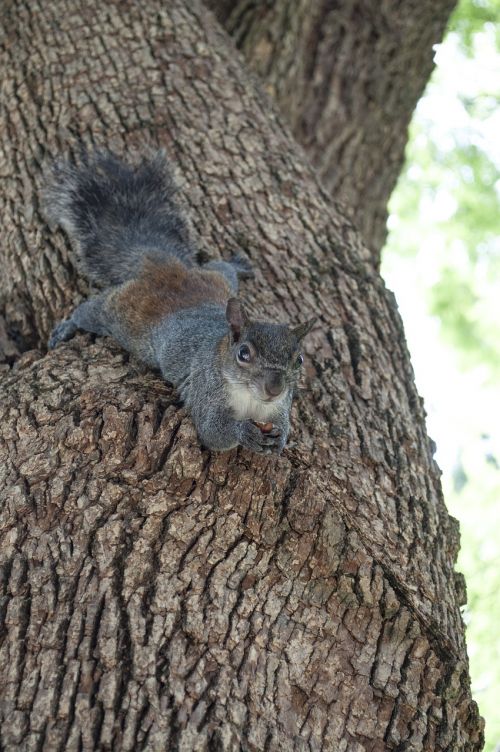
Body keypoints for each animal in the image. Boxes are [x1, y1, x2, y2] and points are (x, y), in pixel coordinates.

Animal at [44, 148, 316, 452]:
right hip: (118, 313)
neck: (251, 400)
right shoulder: (205, 391)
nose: (274, 388)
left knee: (223, 268)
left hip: (217, 278)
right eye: (243, 354)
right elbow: (213, 431)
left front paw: (281, 438)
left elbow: (282, 425)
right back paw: (68, 326)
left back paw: (238, 265)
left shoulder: (279, 408)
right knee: (90, 311)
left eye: (299, 360)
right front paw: (243, 431)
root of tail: (162, 264)